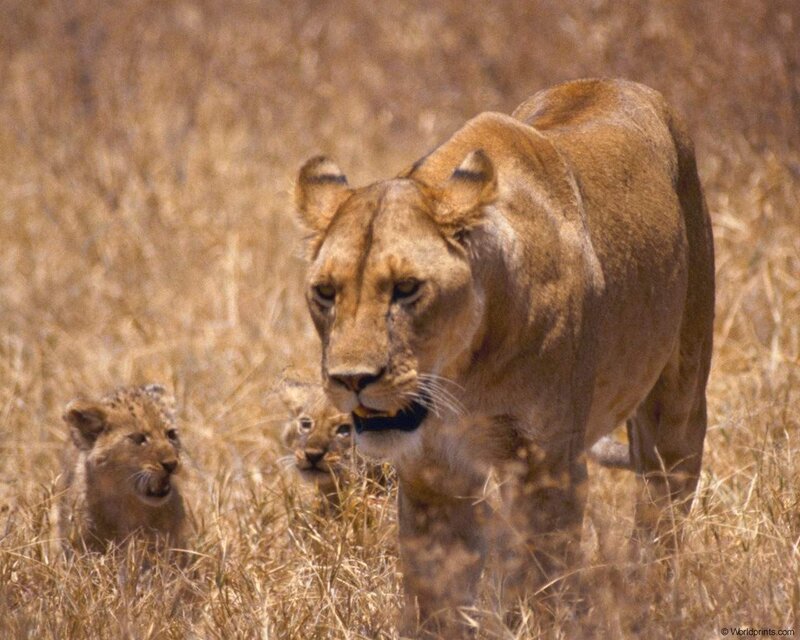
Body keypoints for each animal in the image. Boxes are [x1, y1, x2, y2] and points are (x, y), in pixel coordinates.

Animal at [294, 78, 714, 634]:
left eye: (407, 288)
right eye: (326, 292)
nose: (351, 379)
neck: (460, 374)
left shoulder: (546, 463)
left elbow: (538, 582)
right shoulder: (433, 471)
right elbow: (437, 595)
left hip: (678, 400)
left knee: (661, 511)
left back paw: (648, 604)